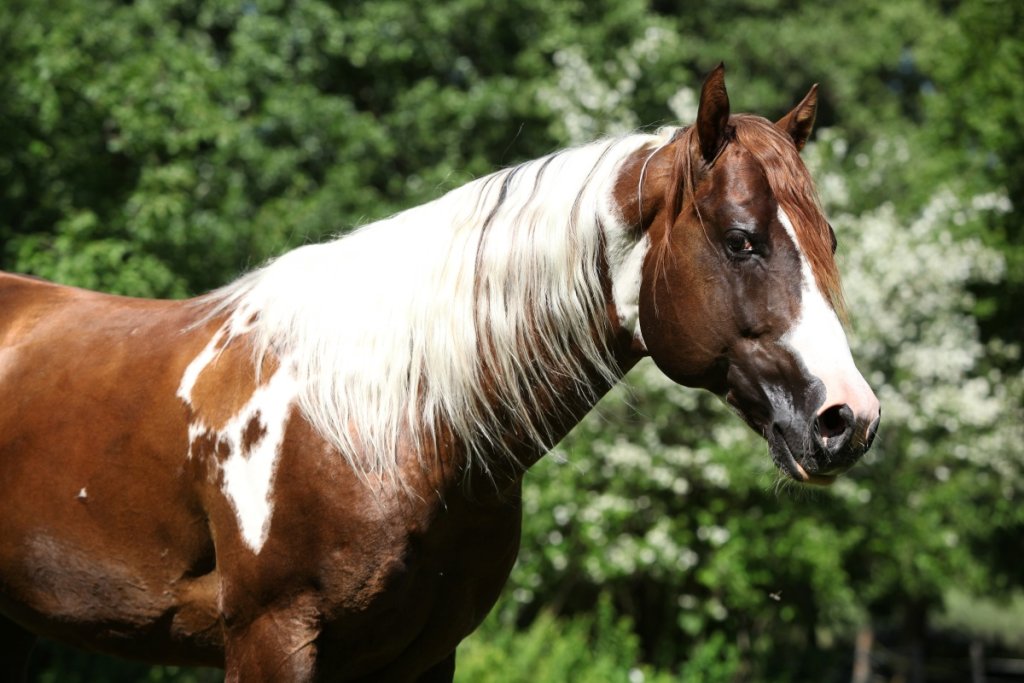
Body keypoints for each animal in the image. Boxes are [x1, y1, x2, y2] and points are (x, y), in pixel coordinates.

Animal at [0, 66, 879, 681]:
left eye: (829, 238)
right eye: (741, 240)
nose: (848, 419)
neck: (384, 423)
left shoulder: (423, 654)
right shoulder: (269, 638)